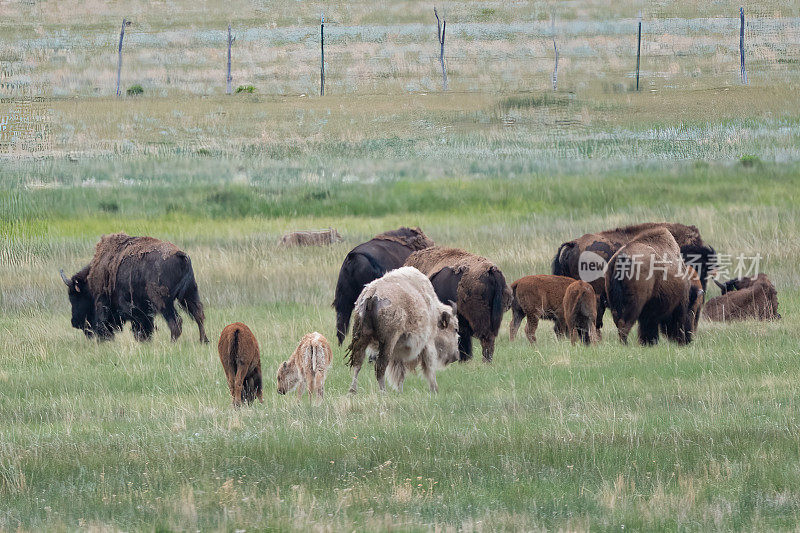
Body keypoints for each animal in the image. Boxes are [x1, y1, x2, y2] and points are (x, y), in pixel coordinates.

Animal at [60, 232, 208, 340]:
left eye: (75, 296)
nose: (75, 322)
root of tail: (180, 254)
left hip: (163, 301)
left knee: (176, 322)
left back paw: (172, 343)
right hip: (190, 293)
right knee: (198, 315)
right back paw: (203, 341)